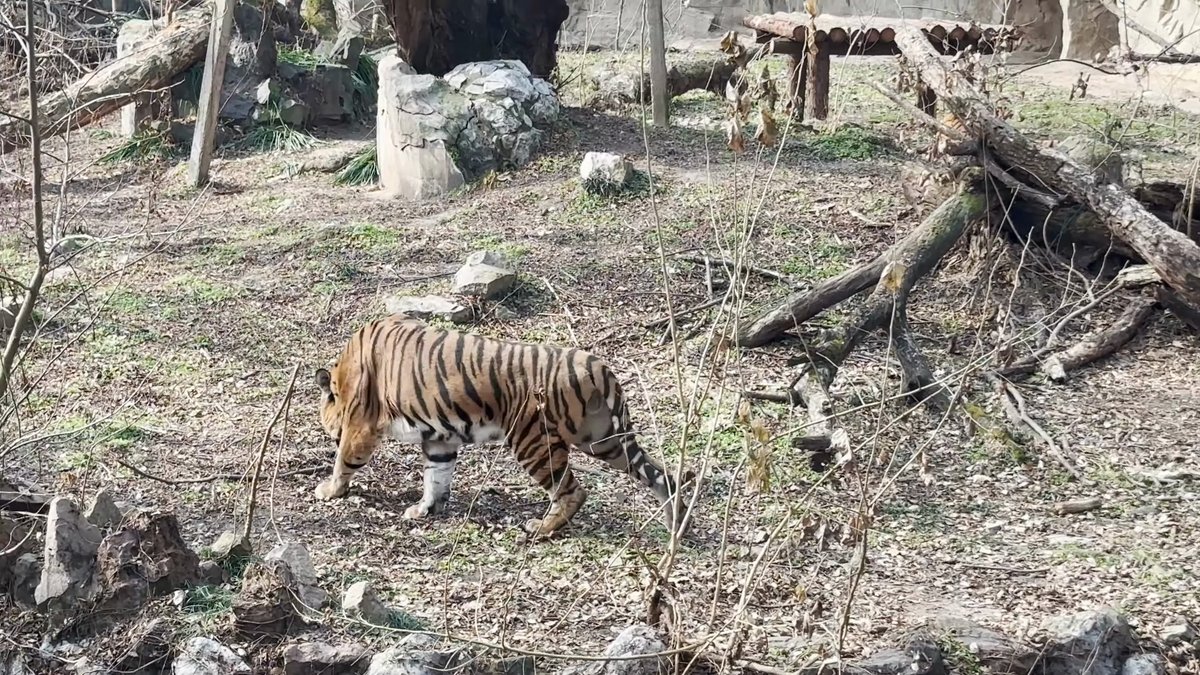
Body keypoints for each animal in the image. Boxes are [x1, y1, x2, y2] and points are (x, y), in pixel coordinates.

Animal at [313, 313, 695, 539]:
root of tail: (600, 368)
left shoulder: (361, 425)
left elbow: (344, 460)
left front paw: (329, 490)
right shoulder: (440, 439)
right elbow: (435, 476)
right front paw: (425, 509)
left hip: (533, 441)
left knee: (571, 490)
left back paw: (542, 528)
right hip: (604, 438)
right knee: (660, 474)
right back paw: (676, 522)